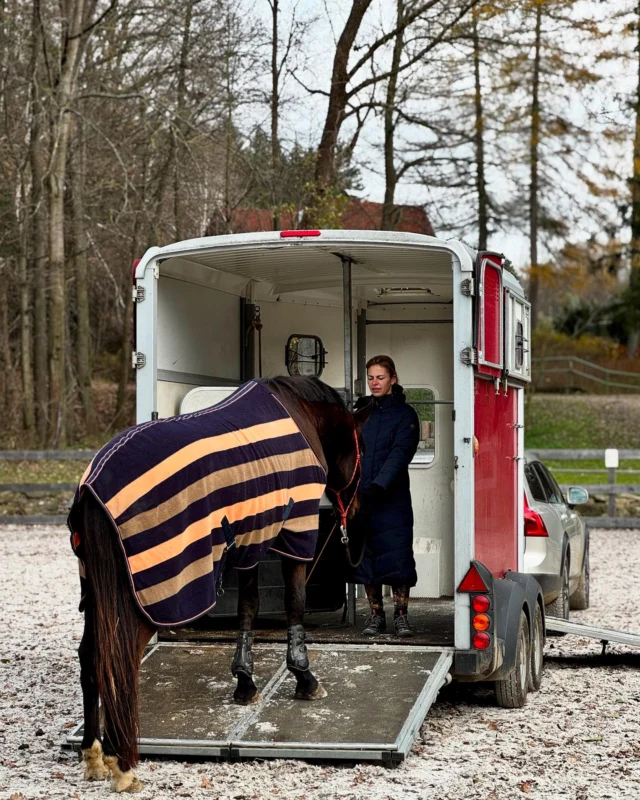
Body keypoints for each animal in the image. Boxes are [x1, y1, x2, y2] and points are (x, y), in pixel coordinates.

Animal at [72, 378, 368, 792]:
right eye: (363, 448)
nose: (355, 511)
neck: (299, 417)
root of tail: (93, 489)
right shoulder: (295, 532)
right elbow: (294, 603)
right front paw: (305, 679)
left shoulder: (250, 541)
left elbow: (249, 607)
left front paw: (244, 683)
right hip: (147, 598)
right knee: (118, 662)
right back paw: (123, 766)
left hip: (95, 592)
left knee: (90, 658)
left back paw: (95, 756)